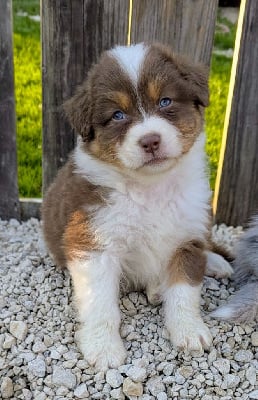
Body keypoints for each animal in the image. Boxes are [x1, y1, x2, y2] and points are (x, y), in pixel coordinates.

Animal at [42, 42, 232, 370]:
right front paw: (103, 348)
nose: (150, 141)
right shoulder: (94, 242)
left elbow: (184, 292)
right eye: (118, 115)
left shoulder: (188, 235)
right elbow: (100, 304)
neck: (151, 188)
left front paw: (189, 331)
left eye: (165, 101)